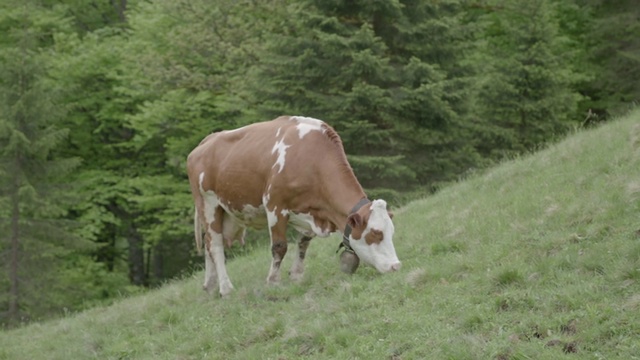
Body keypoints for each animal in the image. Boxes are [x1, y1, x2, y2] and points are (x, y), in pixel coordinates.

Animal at [185, 115, 402, 296]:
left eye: (391, 232)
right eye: (375, 233)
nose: (396, 266)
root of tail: (207, 140)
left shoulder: (309, 211)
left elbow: (304, 242)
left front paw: (297, 275)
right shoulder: (274, 205)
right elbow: (279, 247)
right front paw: (273, 282)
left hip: (226, 212)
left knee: (208, 244)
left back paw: (210, 285)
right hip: (208, 204)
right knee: (216, 245)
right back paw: (225, 288)